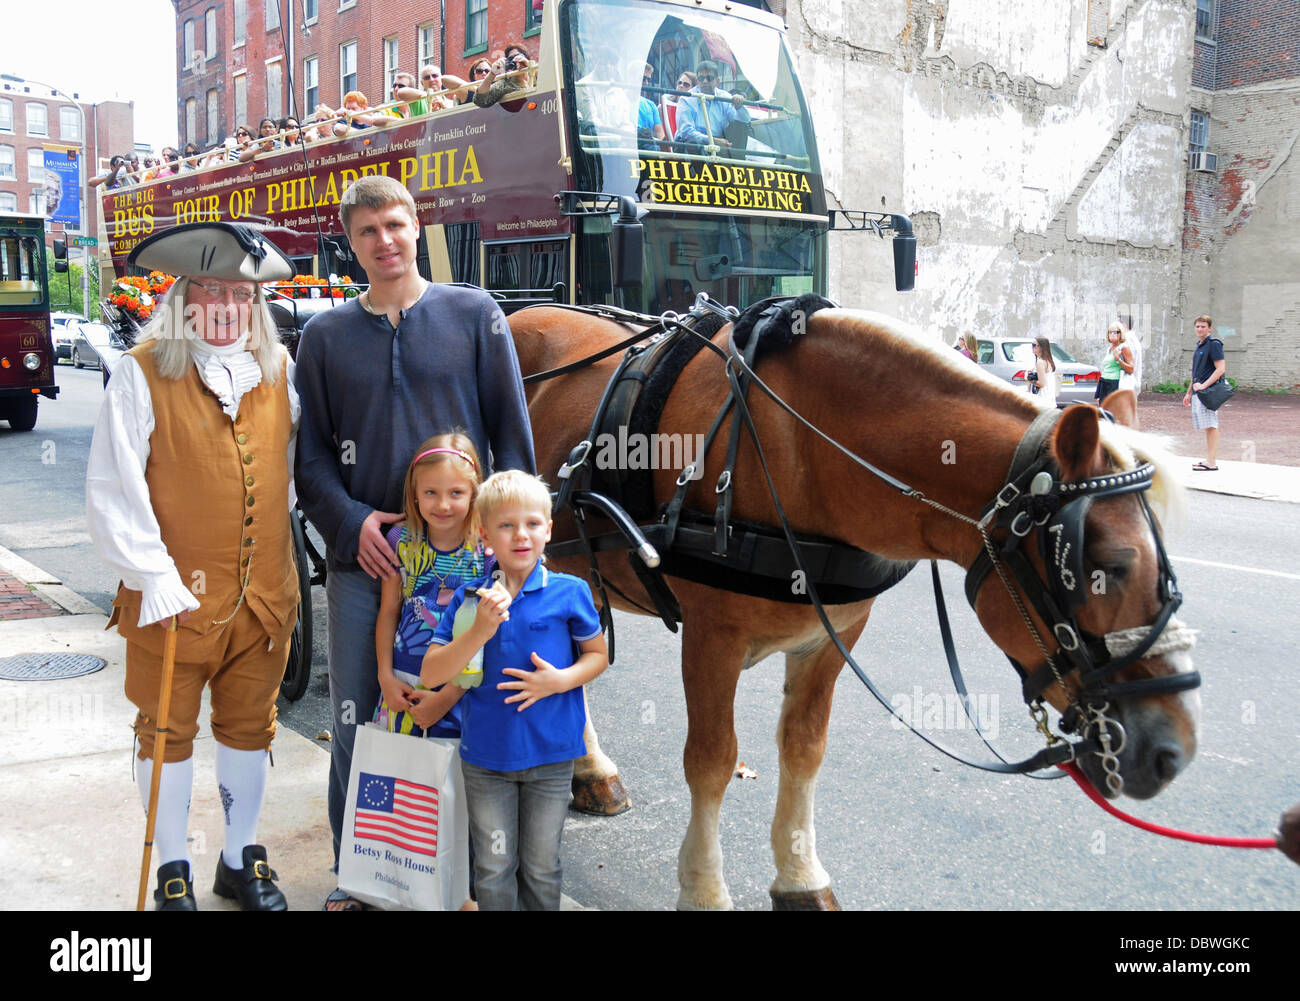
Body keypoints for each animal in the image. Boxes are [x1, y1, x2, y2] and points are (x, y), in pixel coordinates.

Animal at [506, 301, 1196, 904]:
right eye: (1106, 567)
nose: (1173, 751)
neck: (797, 448)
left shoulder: (830, 637)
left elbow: (803, 749)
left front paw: (800, 877)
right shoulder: (711, 639)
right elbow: (711, 761)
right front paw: (704, 891)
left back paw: (589, 769)